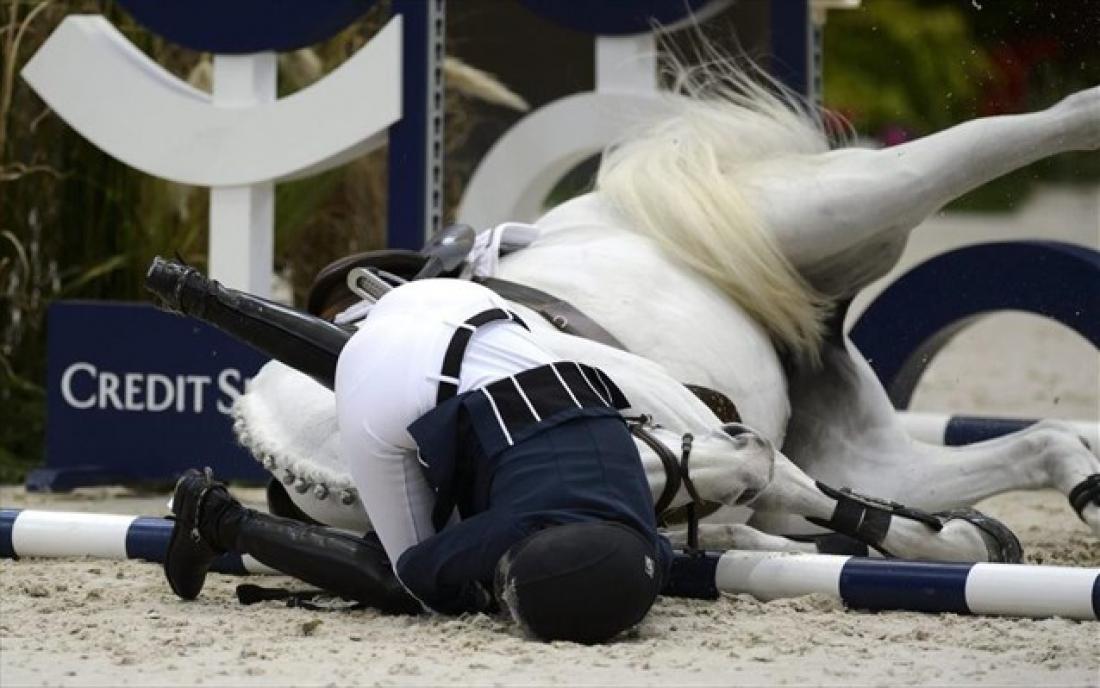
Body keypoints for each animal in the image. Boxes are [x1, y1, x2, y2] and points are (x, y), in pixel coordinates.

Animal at [233, 60, 1100, 565]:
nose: (743, 459)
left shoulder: (675, 404)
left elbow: (784, 487)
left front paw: (946, 539)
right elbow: (772, 505)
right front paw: (955, 538)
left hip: (841, 212)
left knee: (1008, 135)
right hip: (862, 442)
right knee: (1036, 444)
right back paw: (1065, 491)